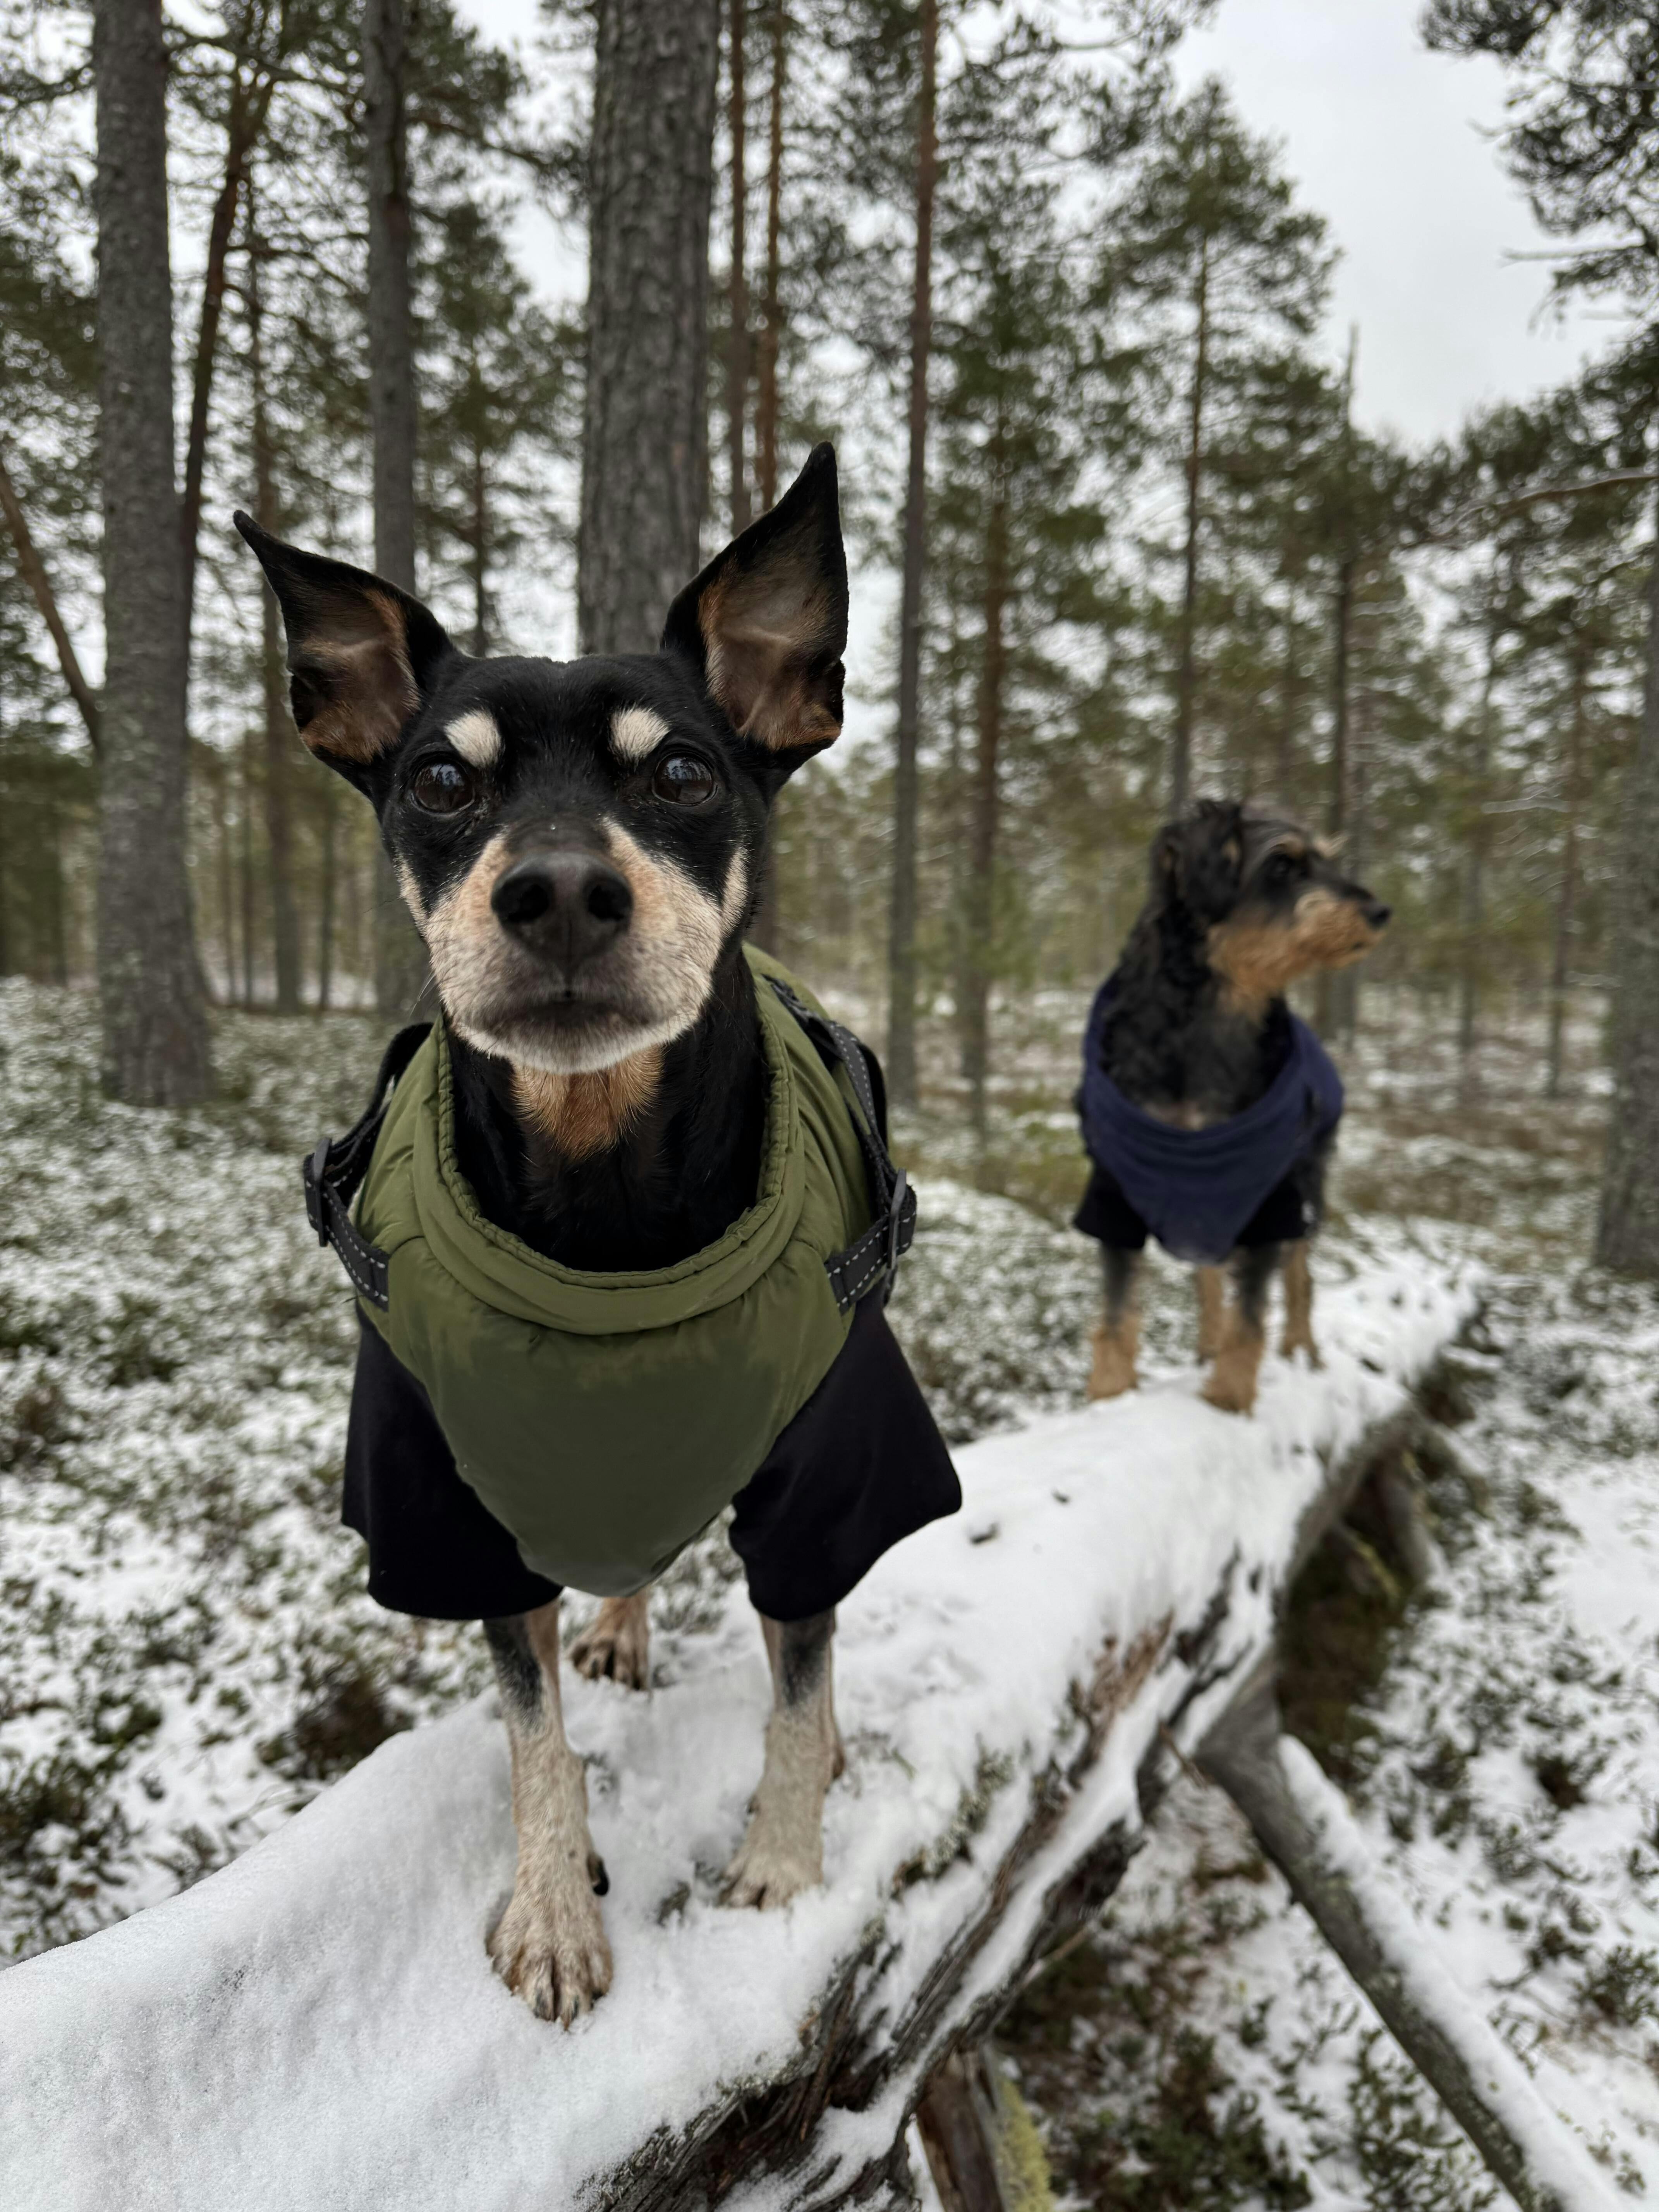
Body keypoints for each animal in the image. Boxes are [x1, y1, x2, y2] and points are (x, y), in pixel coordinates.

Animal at [236, 447, 957, 2025]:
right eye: (441, 780)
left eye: (683, 771)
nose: (560, 889)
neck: (605, 1189)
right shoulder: (447, 1505)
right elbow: (530, 1735)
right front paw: (557, 1907)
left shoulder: (831, 1472)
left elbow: (798, 1687)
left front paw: (783, 1868)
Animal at [1074, 800, 1390, 1415]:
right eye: (1283, 866)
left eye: (1326, 859)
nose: (1380, 911)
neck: (1212, 1014)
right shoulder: (1115, 1193)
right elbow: (1117, 1312)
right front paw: (1109, 1393)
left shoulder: (1271, 1200)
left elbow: (1252, 1315)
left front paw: (1228, 1397)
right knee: (1210, 1275)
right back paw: (1208, 1344)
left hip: (1305, 1189)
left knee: (1299, 1279)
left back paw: (1300, 1348)